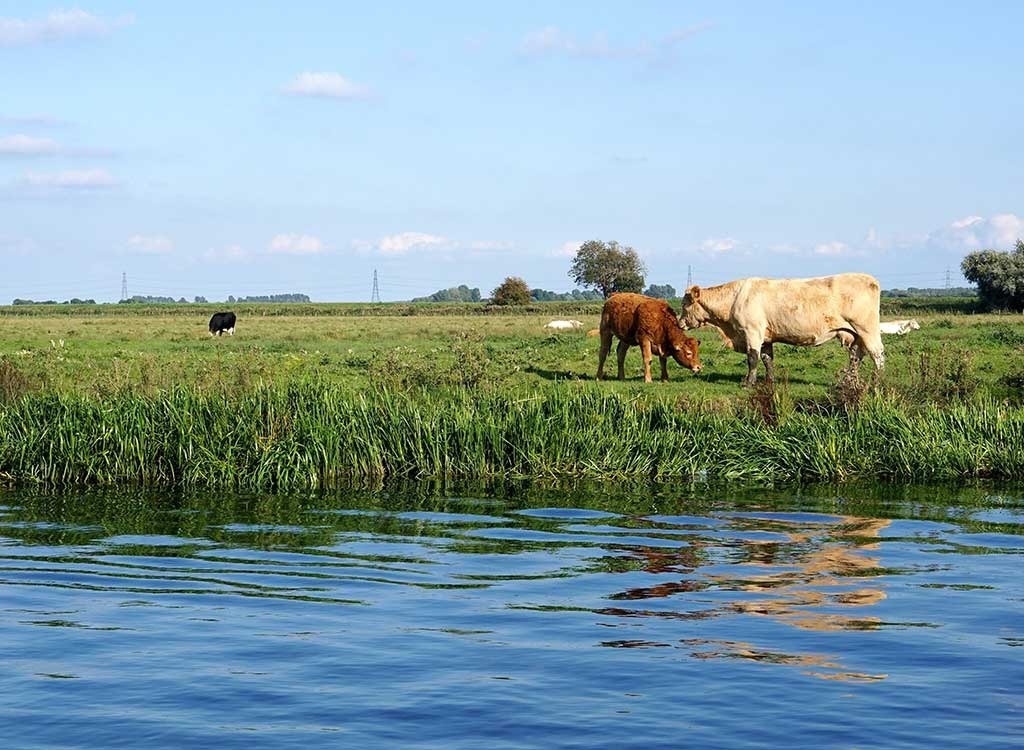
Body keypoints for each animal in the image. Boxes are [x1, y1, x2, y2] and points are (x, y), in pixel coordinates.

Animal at [678, 274, 884, 386]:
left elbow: (752, 358)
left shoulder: (752, 332)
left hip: (867, 329)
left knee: (877, 354)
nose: (679, 323)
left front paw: (748, 382)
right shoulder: (766, 337)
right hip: (856, 334)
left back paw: (877, 383)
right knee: (855, 356)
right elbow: (767, 359)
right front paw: (769, 381)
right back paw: (849, 381)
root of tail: (870, 279)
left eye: (685, 304)